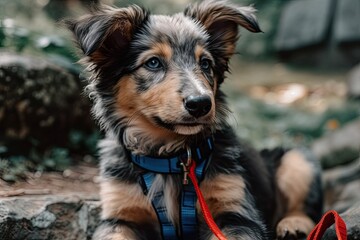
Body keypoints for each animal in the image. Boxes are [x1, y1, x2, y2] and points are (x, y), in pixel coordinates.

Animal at [65, 0, 324, 239]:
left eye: (205, 63)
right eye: (153, 62)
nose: (200, 103)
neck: (173, 158)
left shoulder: (236, 213)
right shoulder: (119, 217)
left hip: (297, 159)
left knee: (304, 208)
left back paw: (294, 224)